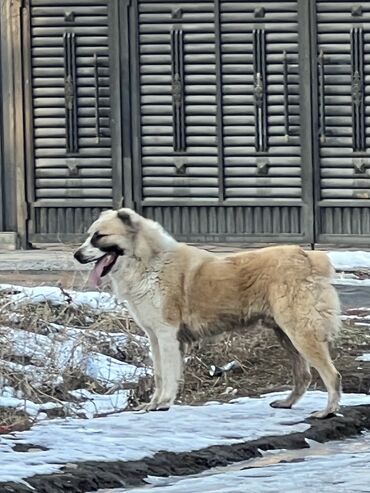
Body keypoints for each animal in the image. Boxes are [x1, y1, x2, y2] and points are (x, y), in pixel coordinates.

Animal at [73, 206, 342, 418]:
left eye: (99, 236)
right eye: (89, 236)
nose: (76, 255)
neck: (148, 260)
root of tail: (308, 256)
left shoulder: (167, 336)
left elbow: (168, 374)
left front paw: (163, 403)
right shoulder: (154, 337)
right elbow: (159, 374)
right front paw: (153, 403)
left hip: (300, 333)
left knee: (332, 374)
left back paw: (327, 411)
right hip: (286, 335)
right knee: (303, 376)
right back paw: (287, 403)